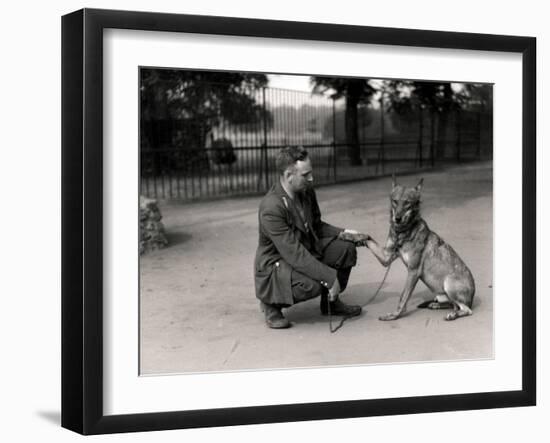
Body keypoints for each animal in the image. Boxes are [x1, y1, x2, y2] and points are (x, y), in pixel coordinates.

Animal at [364, 177, 476, 322]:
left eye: (407, 203)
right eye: (395, 201)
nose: (397, 218)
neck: (402, 233)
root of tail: (472, 298)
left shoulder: (413, 271)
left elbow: (403, 297)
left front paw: (395, 315)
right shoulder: (386, 257)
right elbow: (367, 238)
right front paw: (350, 236)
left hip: (449, 284)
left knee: (466, 310)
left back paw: (452, 315)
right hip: (442, 294)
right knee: (453, 305)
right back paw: (437, 306)